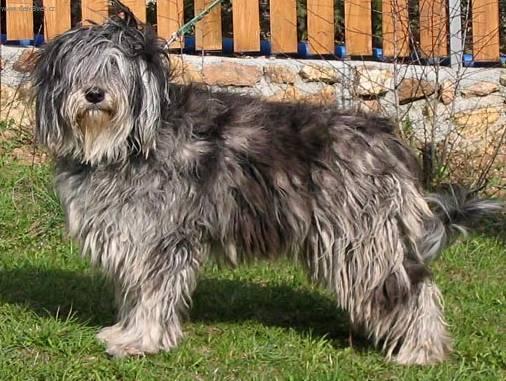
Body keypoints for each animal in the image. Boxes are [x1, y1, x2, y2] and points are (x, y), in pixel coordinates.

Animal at [33, 3, 500, 366]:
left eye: (115, 68)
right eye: (81, 70)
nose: (95, 95)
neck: (127, 142)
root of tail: (386, 137)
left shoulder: (160, 240)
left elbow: (152, 294)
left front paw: (140, 342)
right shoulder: (130, 235)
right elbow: (135, 294)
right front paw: (125, 332)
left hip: (362, 240)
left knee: (413, 289)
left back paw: (420, 351)